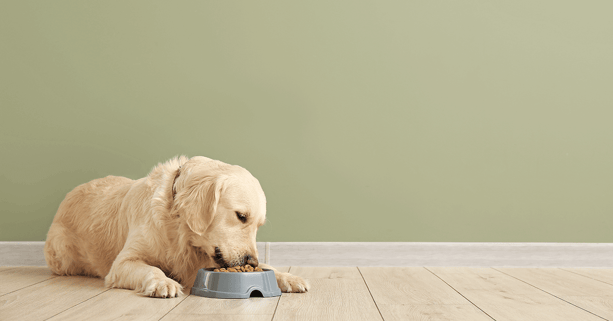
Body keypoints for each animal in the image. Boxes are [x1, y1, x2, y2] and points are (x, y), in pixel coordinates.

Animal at [44, 155, 308, 298]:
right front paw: (164, 283)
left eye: (258, 225)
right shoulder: (122, 263)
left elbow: (270, 266)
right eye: (241, 216)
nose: (251, 262)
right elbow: (151, 269)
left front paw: (288, 277)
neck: (178, 227)